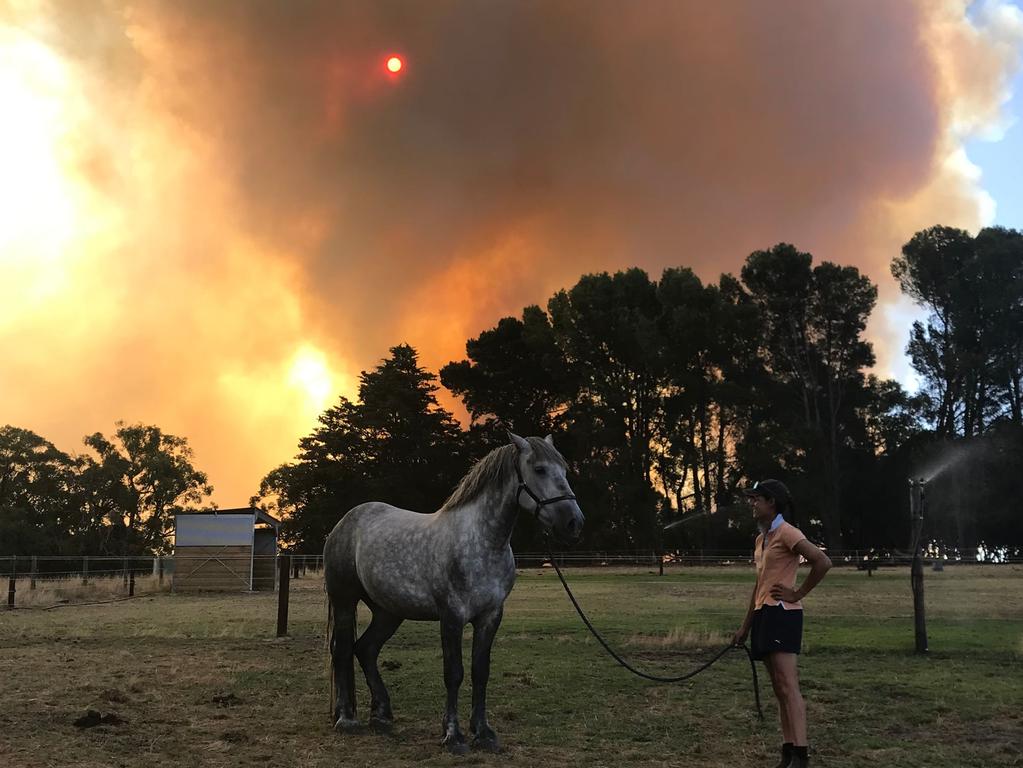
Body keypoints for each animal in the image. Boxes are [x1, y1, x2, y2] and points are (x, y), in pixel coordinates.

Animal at [325, 435, 585, 752]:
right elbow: (454, 673)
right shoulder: (452, 616)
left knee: (366, 649)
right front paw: (453, 735)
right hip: (344, 602)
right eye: (539, 469)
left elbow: (480, 672)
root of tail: (344, 523)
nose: (574, 523)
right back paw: (346, 718)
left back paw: (382, 714)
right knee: (342, 650)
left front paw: (483, 732)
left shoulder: (490, 617)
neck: (481, 542)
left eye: (564, 470)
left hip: (388, 612)